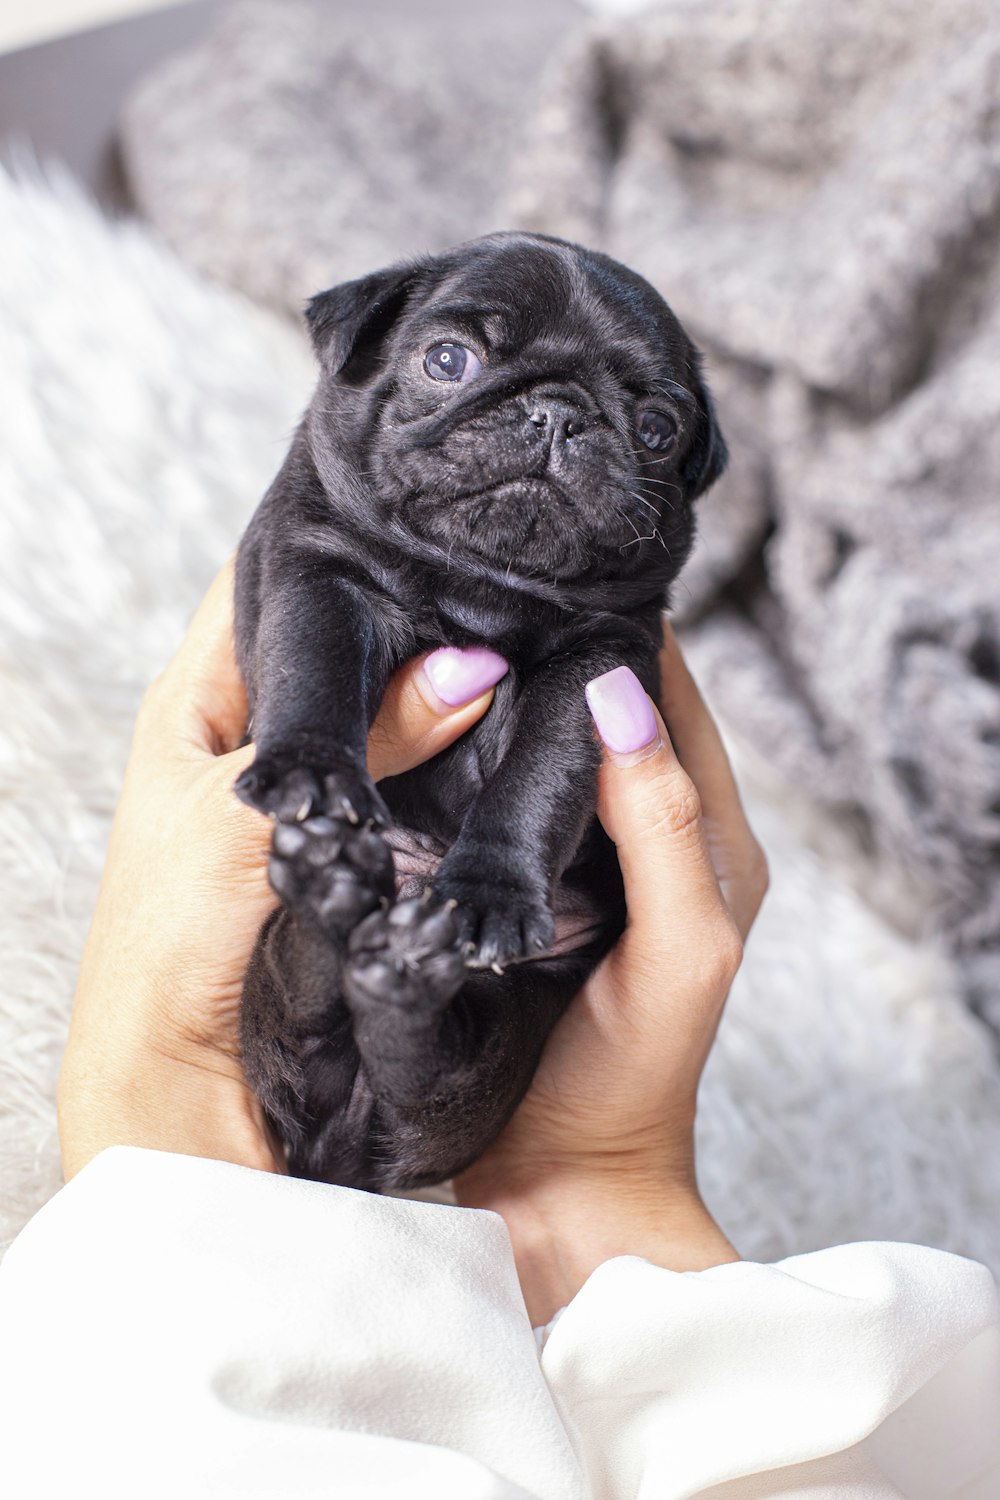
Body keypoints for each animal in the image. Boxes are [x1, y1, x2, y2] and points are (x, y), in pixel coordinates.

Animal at [235, 231, 728, 1194]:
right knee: (309, 1017)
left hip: (506, 1029)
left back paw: (398, 952)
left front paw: (487, 890)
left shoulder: (599, 664)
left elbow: (538, 776)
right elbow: (312, 668)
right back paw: (333, 891)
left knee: (430, 1062)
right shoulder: (320, 567)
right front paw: (313, 769)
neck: (481, 585)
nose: (557, 415)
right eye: (447, 360)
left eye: (657, 429)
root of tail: (341, 1151)